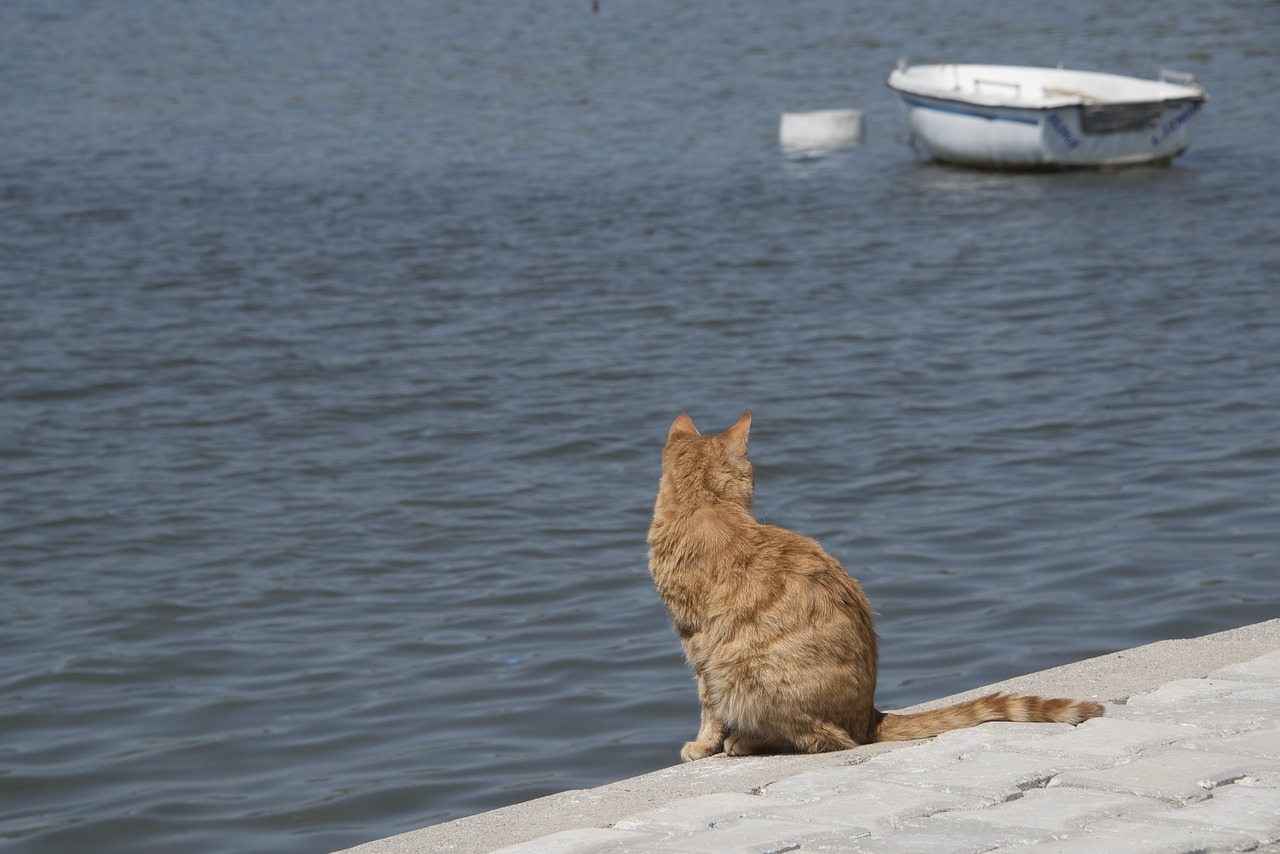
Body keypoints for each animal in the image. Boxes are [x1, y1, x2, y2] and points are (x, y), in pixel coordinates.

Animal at [645, 409, 1105, 757]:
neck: (704, 506)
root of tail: (868, 716)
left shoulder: (698, 642)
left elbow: (707, 706)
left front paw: (702, 745)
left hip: (741, 671)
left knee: (824, 739)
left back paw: (745, 741)